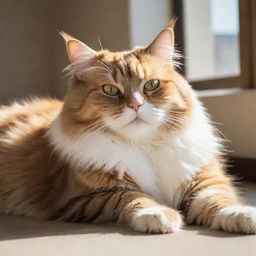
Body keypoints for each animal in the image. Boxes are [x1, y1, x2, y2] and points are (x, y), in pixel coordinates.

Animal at [0, 20, 256, 234]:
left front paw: (240, 215)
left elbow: (217, 200)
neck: (146, 145)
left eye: (151, 85)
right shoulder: (84, 197)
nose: (135, 105)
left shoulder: (205, 179)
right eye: (110, 90)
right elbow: (131, 197)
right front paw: (157, 214)